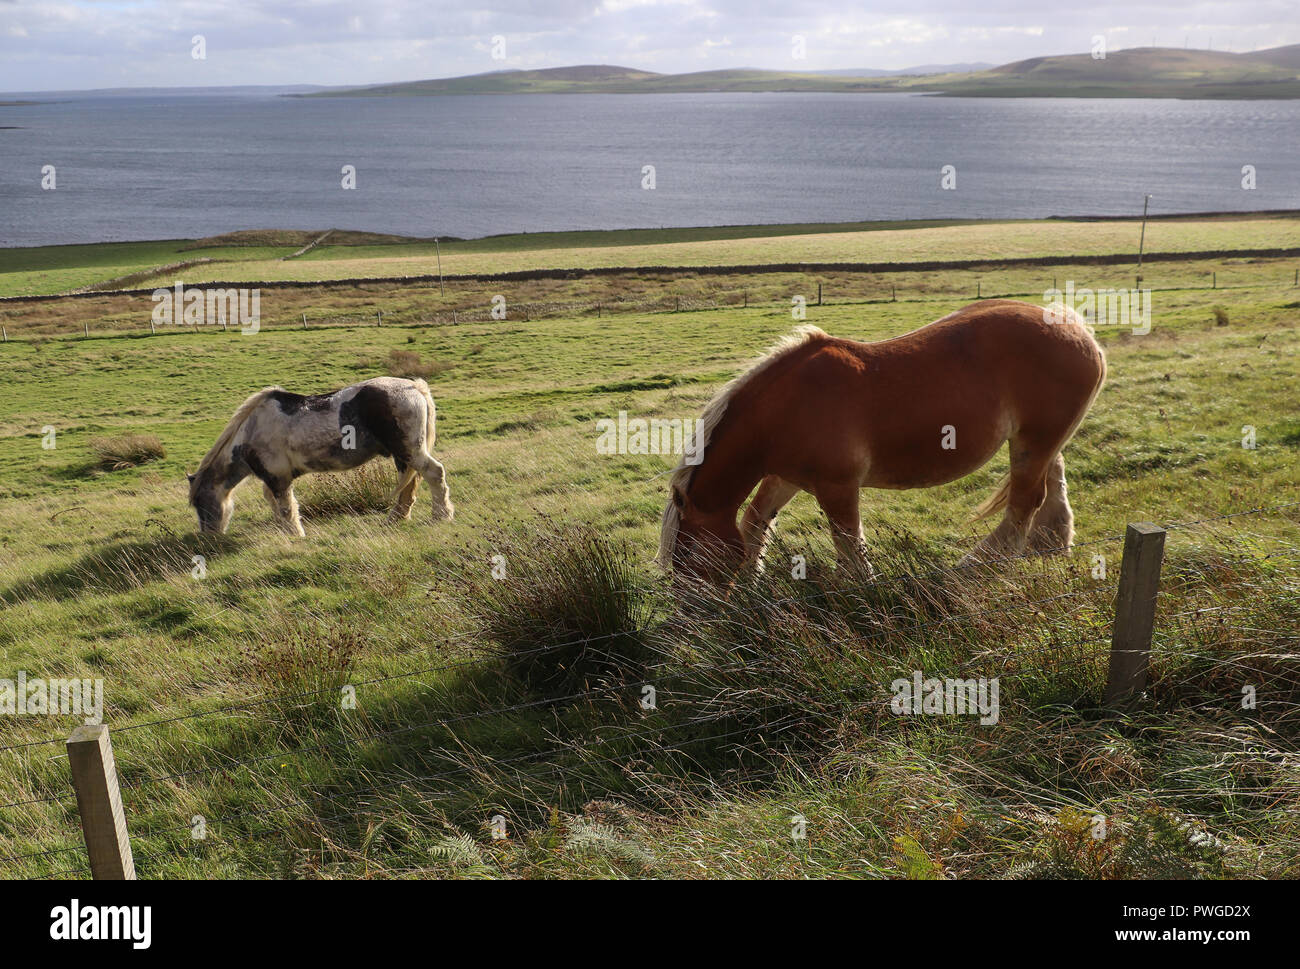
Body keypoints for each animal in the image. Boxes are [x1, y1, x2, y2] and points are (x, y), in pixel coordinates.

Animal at [185, 374, 454, 535]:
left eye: (199, 502)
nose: (209, 538)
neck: (251, 431)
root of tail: (415, 387)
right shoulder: (272, 479)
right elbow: (274, 503)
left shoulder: (278, 477)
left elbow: (286, 506)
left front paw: (295, 535)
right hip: (403, 455)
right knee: (410, 484)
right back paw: (396, 519)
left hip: (410, 451)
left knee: (434, 473)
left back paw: (442, 515)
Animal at [660, 299, 1107, 577]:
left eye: (691, 559)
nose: (693, 622)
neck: (788, 405)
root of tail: (1077, 328)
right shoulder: (785, 477)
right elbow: (756, 523)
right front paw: (752, 588)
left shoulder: (838, 488)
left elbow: (850, 547)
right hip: (1039, 442)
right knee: (1052, 488)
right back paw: (1050, 548)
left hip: (1035, 442)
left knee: (1025, 502)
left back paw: (976, 565)